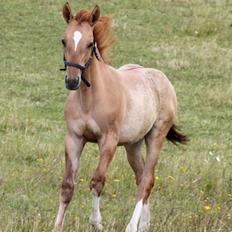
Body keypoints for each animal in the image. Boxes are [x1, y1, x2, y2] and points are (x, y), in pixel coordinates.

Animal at [54, 3, 187, 232]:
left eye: (90, 43)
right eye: (64, 40)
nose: (72, 80)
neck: (90, 99)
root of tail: (162, 78)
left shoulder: (108, 140)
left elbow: (97, 180)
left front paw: (96, 222)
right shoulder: (74, 138)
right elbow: (67, 186)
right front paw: (56, 226)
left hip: (156, 136)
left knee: (147, 181)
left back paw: (132, 226)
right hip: (132, 145)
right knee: (140, 177)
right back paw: (144, 225)